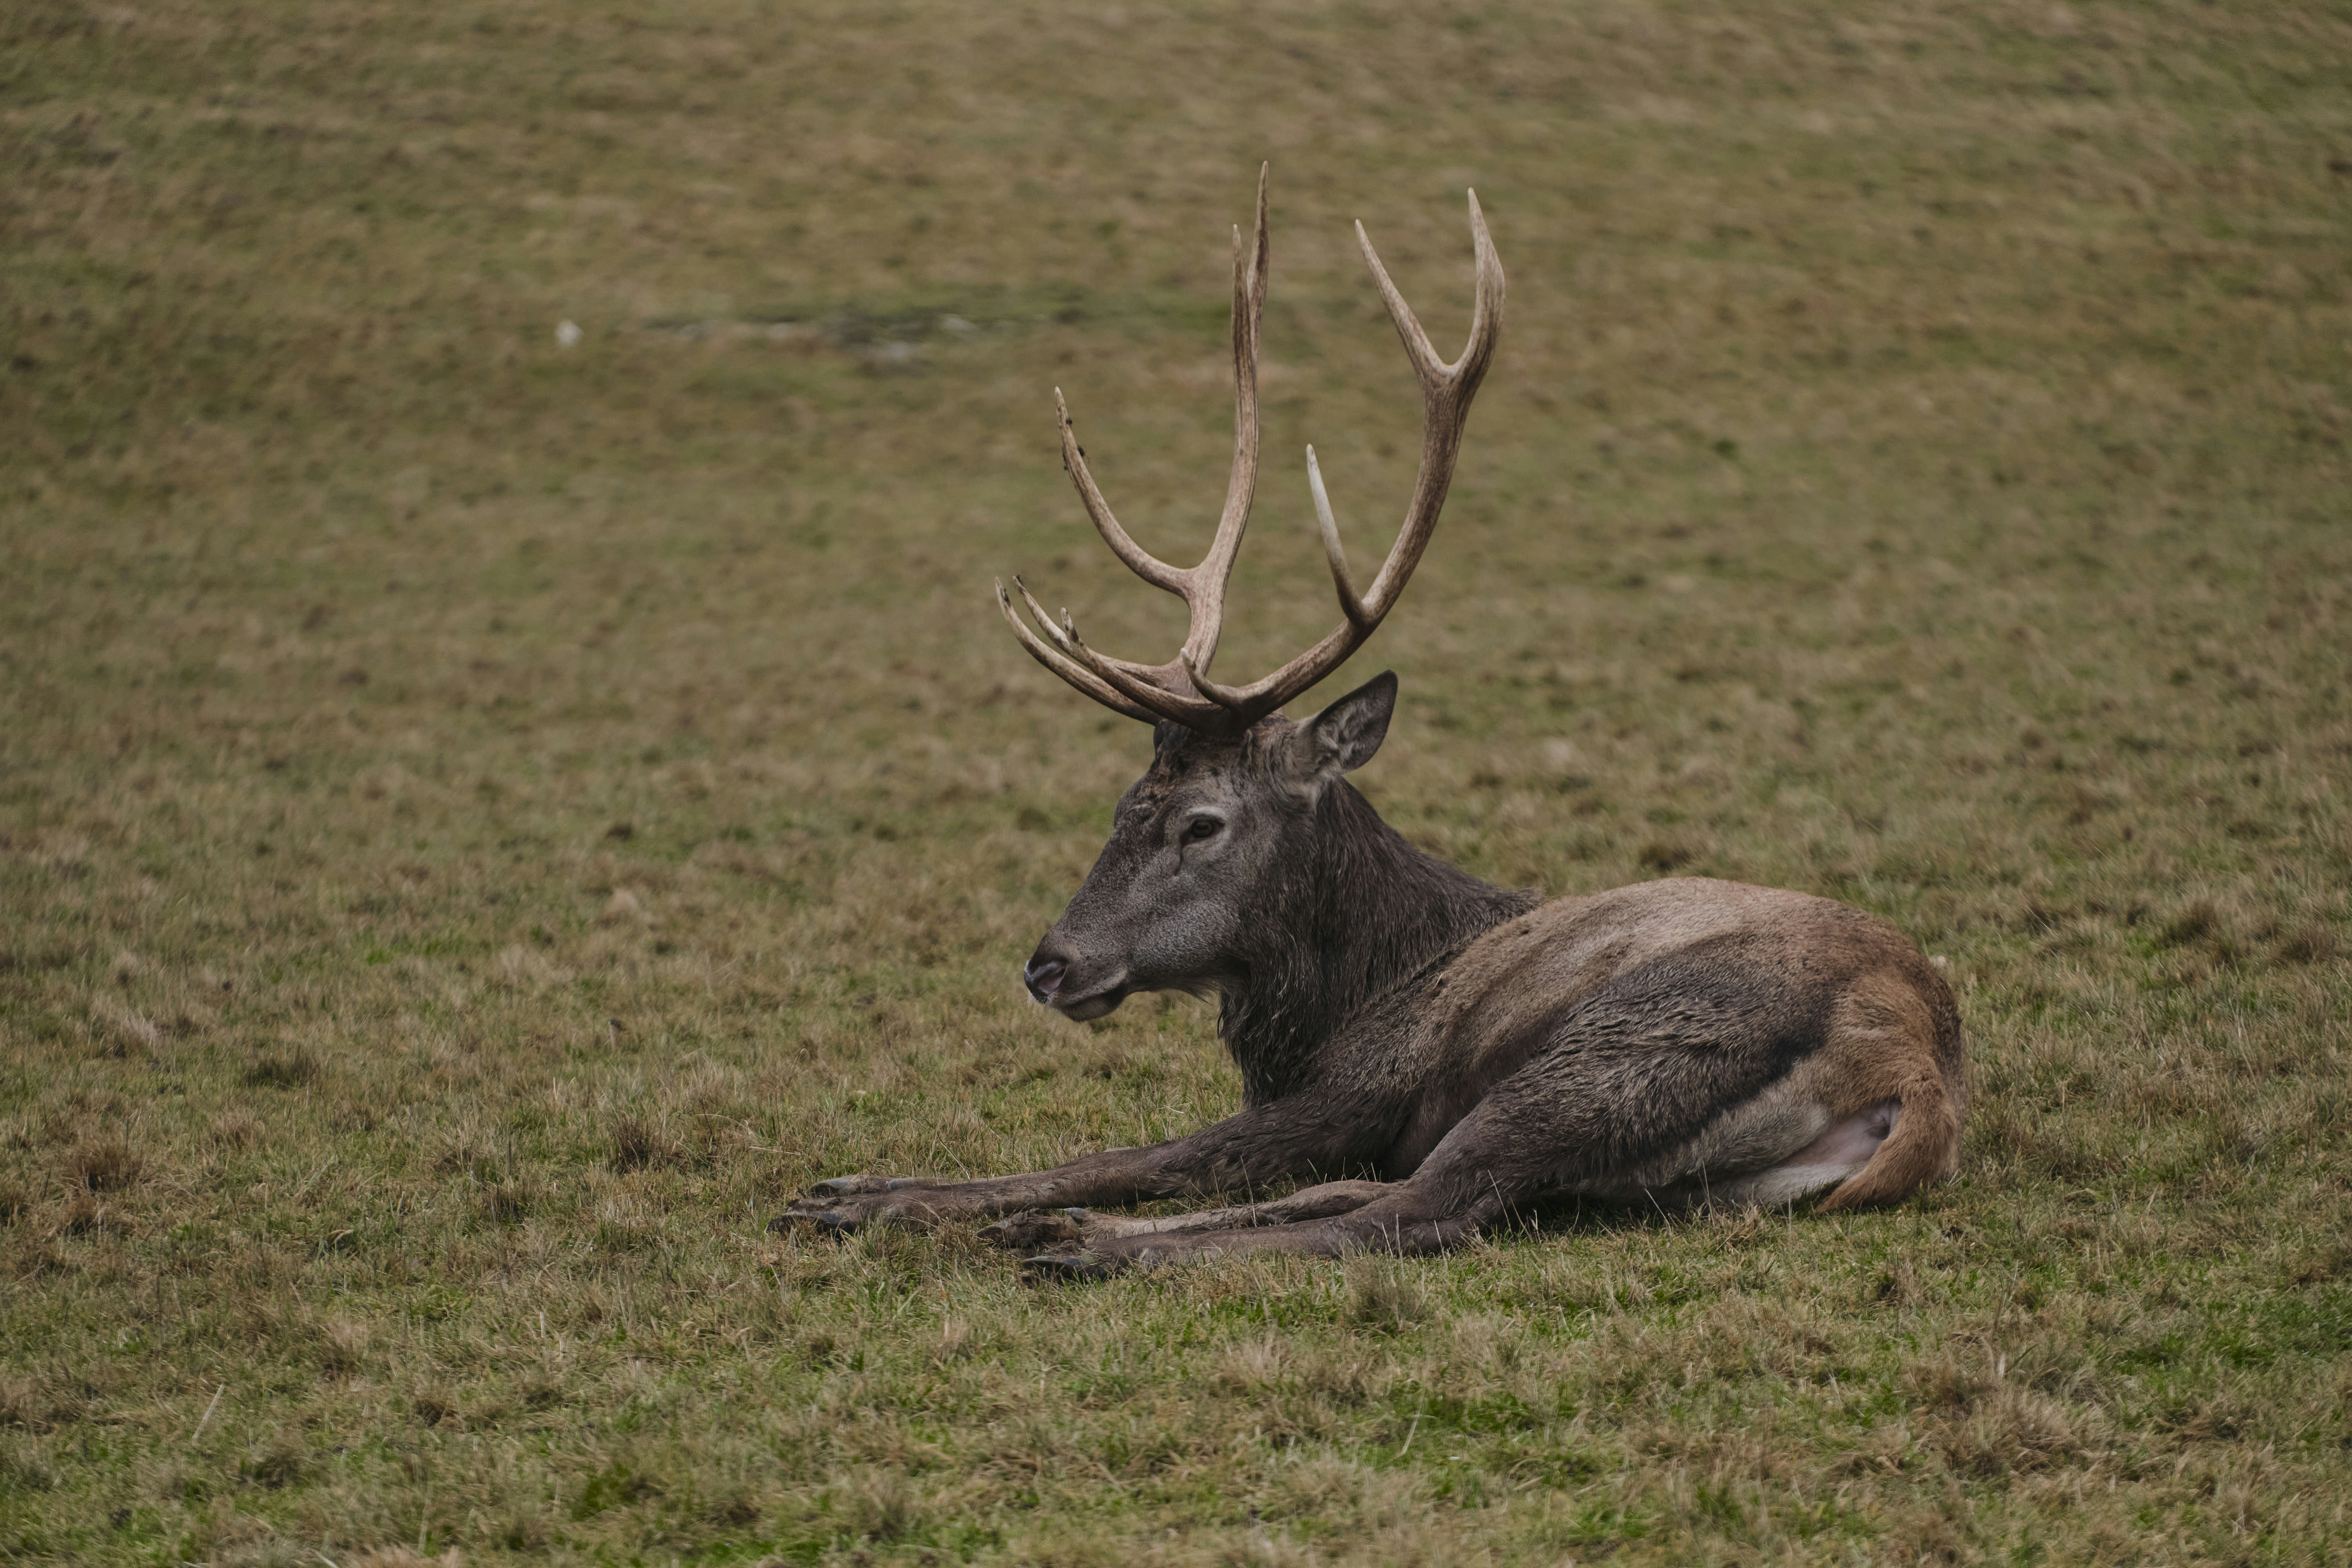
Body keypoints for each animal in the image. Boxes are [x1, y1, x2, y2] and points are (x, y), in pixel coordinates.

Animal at [778, 168, 1966, 1277]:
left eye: (1200, 822)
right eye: (1122, 802)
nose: (1048, 966)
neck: (1347, 998)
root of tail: (1912, 1065)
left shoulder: (1353, 1090)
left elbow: (1142, 1152)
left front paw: (878, 1197)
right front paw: (857, 1186)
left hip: (1616, 1053)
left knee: (1417, 1208)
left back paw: (1096, 1246)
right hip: (1684, 1173)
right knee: (1386, 1196)